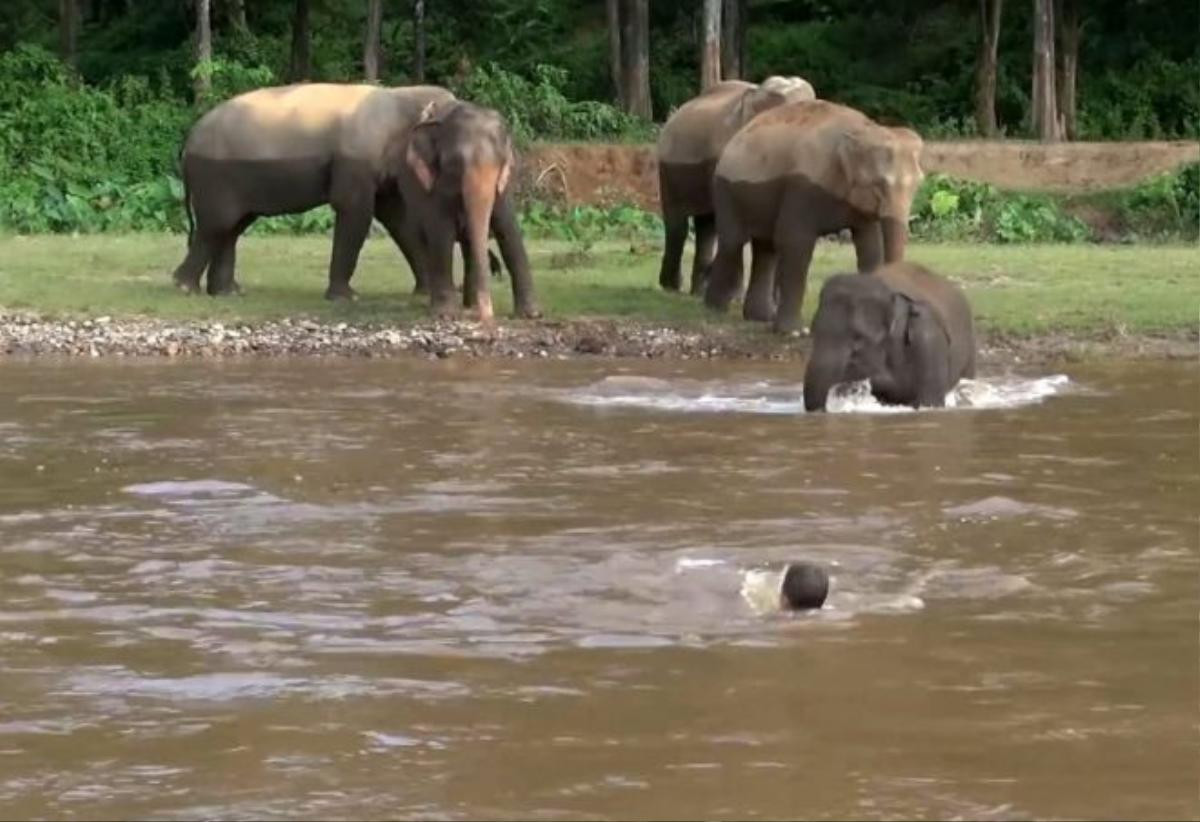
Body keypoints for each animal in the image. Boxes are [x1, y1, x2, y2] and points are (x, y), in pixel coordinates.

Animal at [175, 81, 458, 300]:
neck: (401, 95)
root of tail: (188, 143)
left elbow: (398, 220)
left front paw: (425, 292)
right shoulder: (354, 162)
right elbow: (354, 210)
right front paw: (346, 298)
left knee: (232, 228)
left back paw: (228, 293)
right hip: (214, 176)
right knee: (217, 225)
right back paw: (185, 288)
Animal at [388, 100, 540, 324]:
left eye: (500, 162)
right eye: (455, 164)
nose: (487, 318)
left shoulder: (505, 184)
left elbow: (509, 231)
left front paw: (531, 314)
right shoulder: (434, 186)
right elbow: (441, 233)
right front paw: (444, 315)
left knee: (469, 248)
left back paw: (470, 306)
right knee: (425, 243)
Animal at [657, 75, 816, 295]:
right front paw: (734, 296)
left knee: (706, 226)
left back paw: (698, 291)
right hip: (668, 169)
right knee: (678, 223)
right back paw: (672, 286)